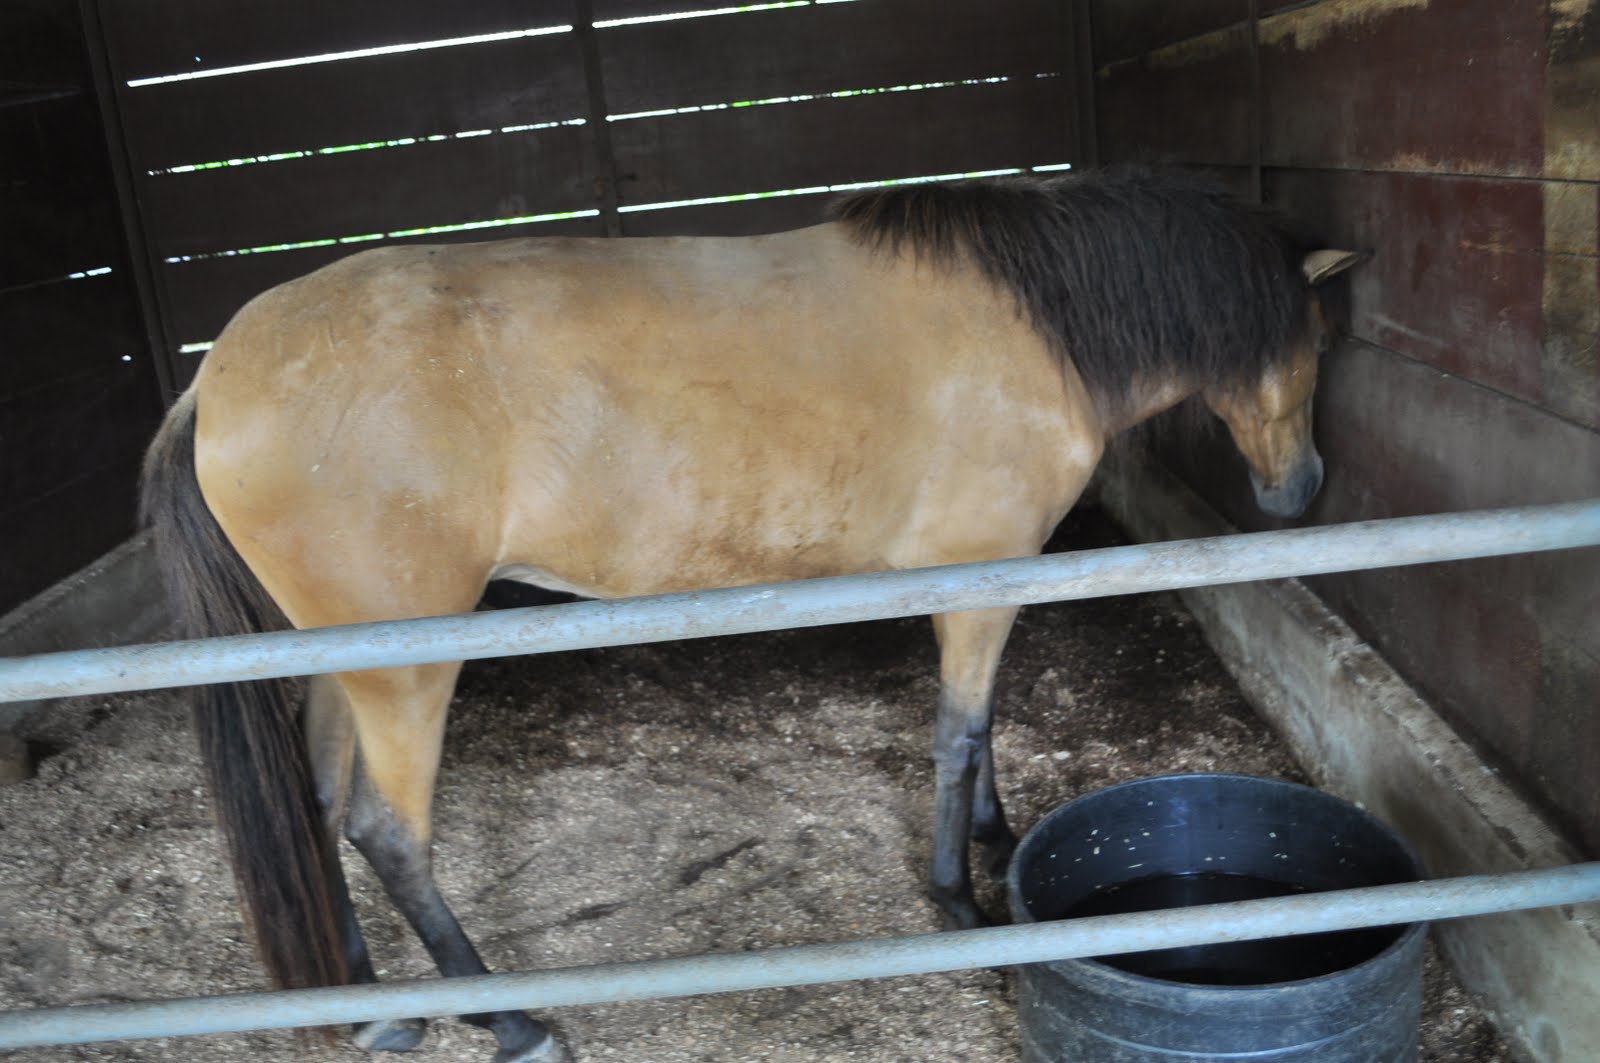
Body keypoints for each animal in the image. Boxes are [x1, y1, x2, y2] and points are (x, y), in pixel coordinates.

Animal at [139, 168, 1360, 1061]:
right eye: (1313, 345)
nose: (1301, 491)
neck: (1028, 326)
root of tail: (218, 379)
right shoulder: (980, 578)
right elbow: (958, 730)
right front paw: (958, 899)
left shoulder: (973, 585)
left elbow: (979, 728)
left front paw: (992, 834)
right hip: (405, 676)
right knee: (389, 834)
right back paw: (513, 1020)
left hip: (339, 664)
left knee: (315, 802)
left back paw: (369, 1007)